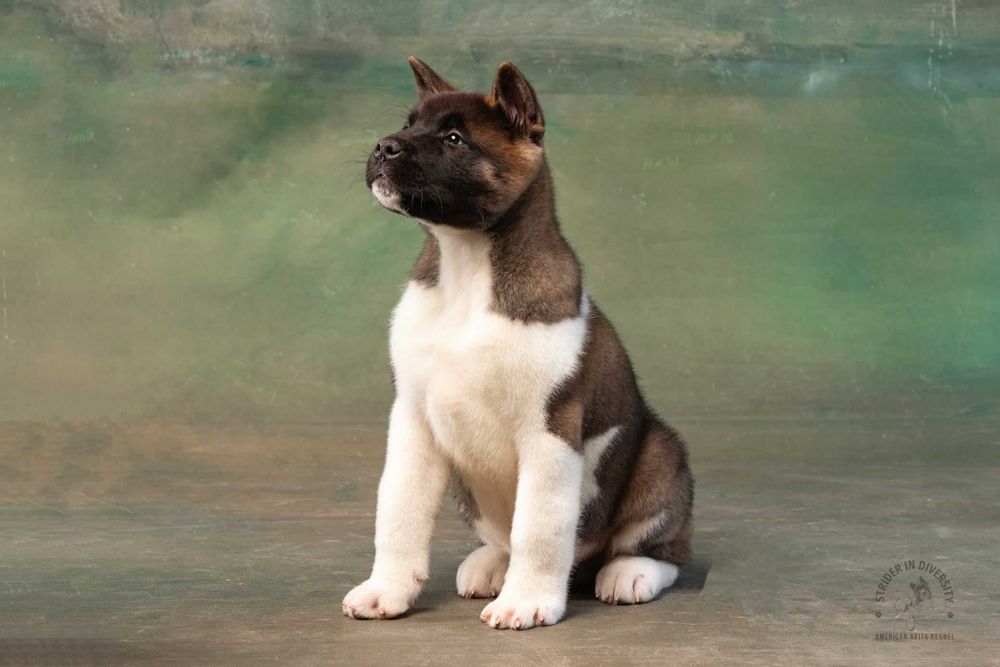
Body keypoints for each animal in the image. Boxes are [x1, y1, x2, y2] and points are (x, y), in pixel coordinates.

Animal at [342, 57, 694, 630]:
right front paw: (385, 589)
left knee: (663, 549)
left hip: (660, 457)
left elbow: (539, 527)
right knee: (503, 537)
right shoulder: (412, 422)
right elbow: (397, 510)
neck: (467, 265)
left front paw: (527, 600)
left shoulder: (549, 431)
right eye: (409, 124)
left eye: (455, 139)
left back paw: (629, 571)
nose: (383, 146)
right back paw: (492, 564)